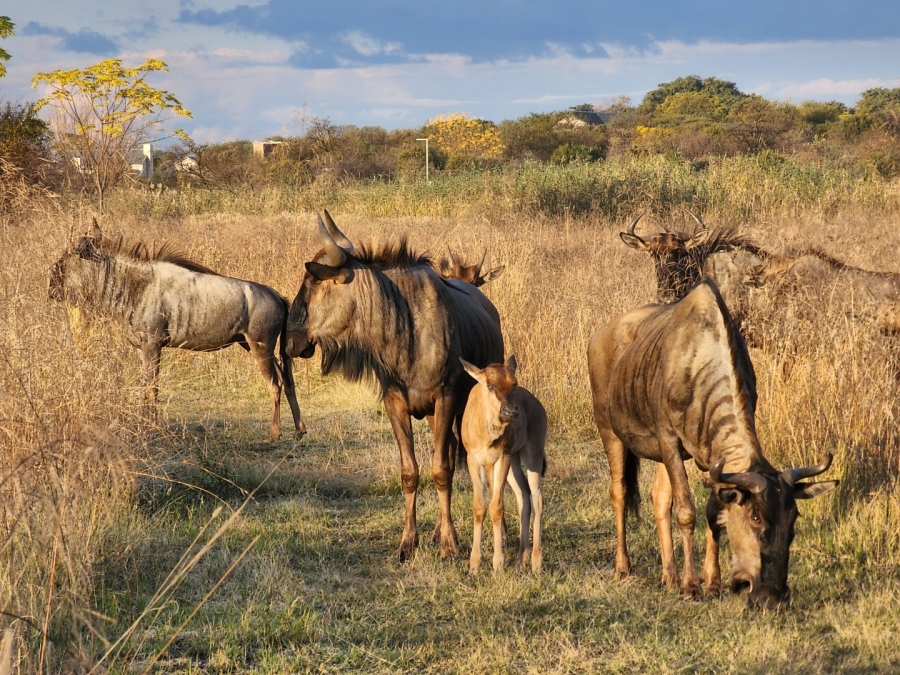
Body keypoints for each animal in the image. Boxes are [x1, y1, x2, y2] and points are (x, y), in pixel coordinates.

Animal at [460, 356, 544, 572]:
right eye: (490, 384)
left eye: (513, 384)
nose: (511, 412)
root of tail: (537, 404)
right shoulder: (474, 460)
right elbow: (479, 507)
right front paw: (474, 565)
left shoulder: (501, 458)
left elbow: (496, 507)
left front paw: (497, 564)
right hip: (514, 465)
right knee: (523, 496)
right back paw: (520, 559)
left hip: (532, 456)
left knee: (536, 498)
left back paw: (536, 561)